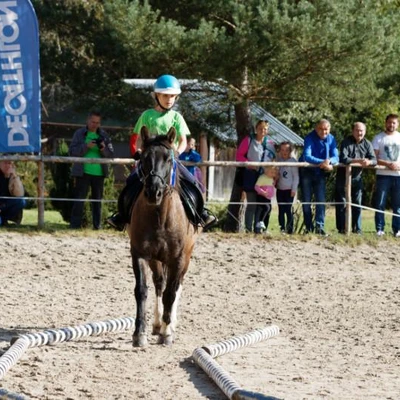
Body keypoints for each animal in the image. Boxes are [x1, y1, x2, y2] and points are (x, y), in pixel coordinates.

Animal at [127, 126, 199, 346]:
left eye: (168, 158)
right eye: (143, 158)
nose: (153, 192)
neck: (160, 217)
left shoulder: (178, 258)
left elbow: (171, 293)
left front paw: (167, 333)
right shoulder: (140, 254)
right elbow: (142, 290)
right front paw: (139, 333)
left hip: (186, 258)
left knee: (176, 286)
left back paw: (169, 323)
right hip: (156, 260)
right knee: (159, 283)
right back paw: (158, 323)